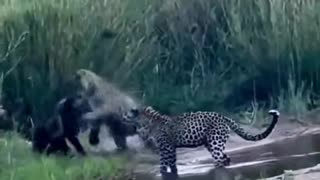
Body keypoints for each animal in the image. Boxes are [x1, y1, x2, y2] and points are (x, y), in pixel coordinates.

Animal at [122, 106, 280, 175]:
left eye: (126, 113)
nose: (121, 116)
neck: (144, 122)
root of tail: (223, 117)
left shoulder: (166, 148)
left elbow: (163, 164)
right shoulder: (170, 149)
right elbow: (172, 164)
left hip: (215, 143)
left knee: (221, 160)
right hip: (211, 143)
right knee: (226, 158)